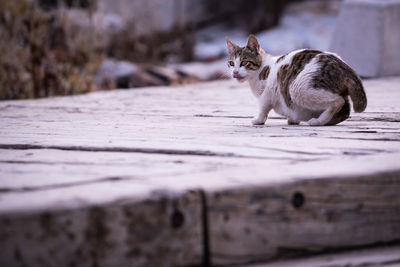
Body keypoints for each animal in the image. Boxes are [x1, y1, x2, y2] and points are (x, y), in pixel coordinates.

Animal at [225, 35, 366, 126]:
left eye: (244, 62)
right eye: (231, 63)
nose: (235, 72)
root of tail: (344, 66)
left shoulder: (268, 92)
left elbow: (263, 107)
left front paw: (259, 120)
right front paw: (293, 120)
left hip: (298, 88)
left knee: (338, 101)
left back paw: (318, 121)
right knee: (346, 109)